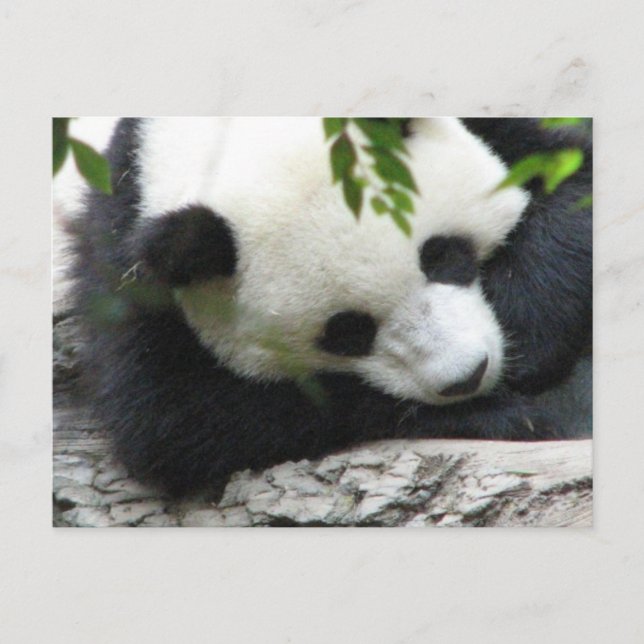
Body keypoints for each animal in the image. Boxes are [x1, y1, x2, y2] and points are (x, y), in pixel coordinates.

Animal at [68, 117, 592, 496]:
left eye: (443, 255)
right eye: (347, 332)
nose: (467, 376)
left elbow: (573, 179)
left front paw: (528, 335)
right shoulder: (128, 268)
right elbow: (175, 420)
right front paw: (512, 414)